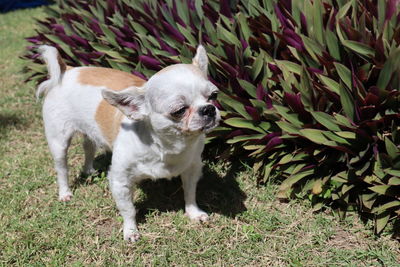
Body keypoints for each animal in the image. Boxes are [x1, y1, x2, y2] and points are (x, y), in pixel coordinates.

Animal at [36, 45, 220, 242]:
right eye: (179, 110)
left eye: (214, 96)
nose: (208, 109)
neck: (167, 146)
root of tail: (67, 70)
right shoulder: (120, 181)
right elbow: (128, 209)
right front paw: (131, 231)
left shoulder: (192, 169)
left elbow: (190, 193)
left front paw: (194, 213)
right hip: (59, 142)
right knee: (62, 168)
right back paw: (65, 193)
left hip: (89, 132)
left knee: (89, 147)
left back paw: (89, 170)